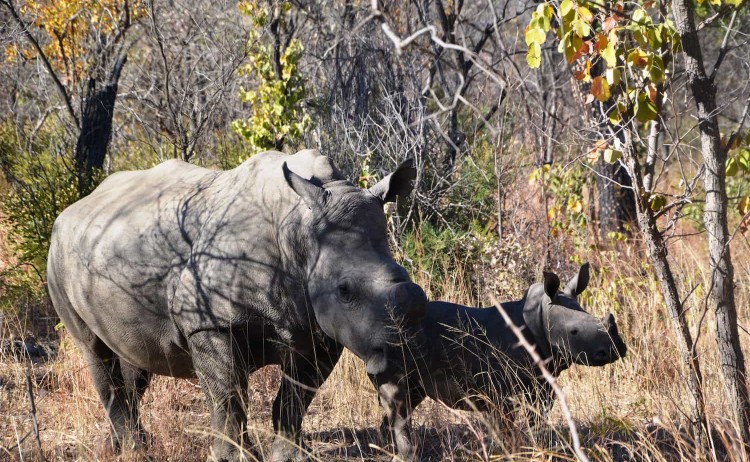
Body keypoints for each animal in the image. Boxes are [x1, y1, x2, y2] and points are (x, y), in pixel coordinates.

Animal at [46, 149, 428, 461]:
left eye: (404, 278)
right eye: (345, 291)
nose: (402, 364)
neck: (299, 229)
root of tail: (72, 209)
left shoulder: (320, 331)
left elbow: (295, 399)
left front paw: (291, 456)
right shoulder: (209, 322)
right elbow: (228, 398)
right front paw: (235, 458)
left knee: (134, 358)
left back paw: (121, 446)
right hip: (57, 258)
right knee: (95, 352)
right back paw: (136, 451)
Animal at [373, 263, 627, 461]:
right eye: (574, 332)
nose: (616, 350)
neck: (540, 317)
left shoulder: (543, 382)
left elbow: (538, 419)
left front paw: (536, 446)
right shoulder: (500, 390)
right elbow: (505, 425)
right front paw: (506, 452)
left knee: (406, 400)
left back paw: (387, 450)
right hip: (393, 348)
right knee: (398, 400)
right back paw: (402, 454)